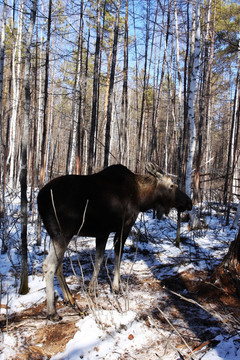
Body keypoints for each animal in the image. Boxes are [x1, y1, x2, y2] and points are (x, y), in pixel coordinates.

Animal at [37, 163, 191, 320]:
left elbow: (98, 260)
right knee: (49, 265)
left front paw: (92, 289)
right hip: (63, 233)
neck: (142, 198)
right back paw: (52, 311)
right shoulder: (124, 227)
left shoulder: (102, 233)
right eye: (172, 185)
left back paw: (70, 298)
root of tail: (39, 200)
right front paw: (116, 287)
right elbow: (118, 257)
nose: (189, 202)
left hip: (55, 235)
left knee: (59, 265)